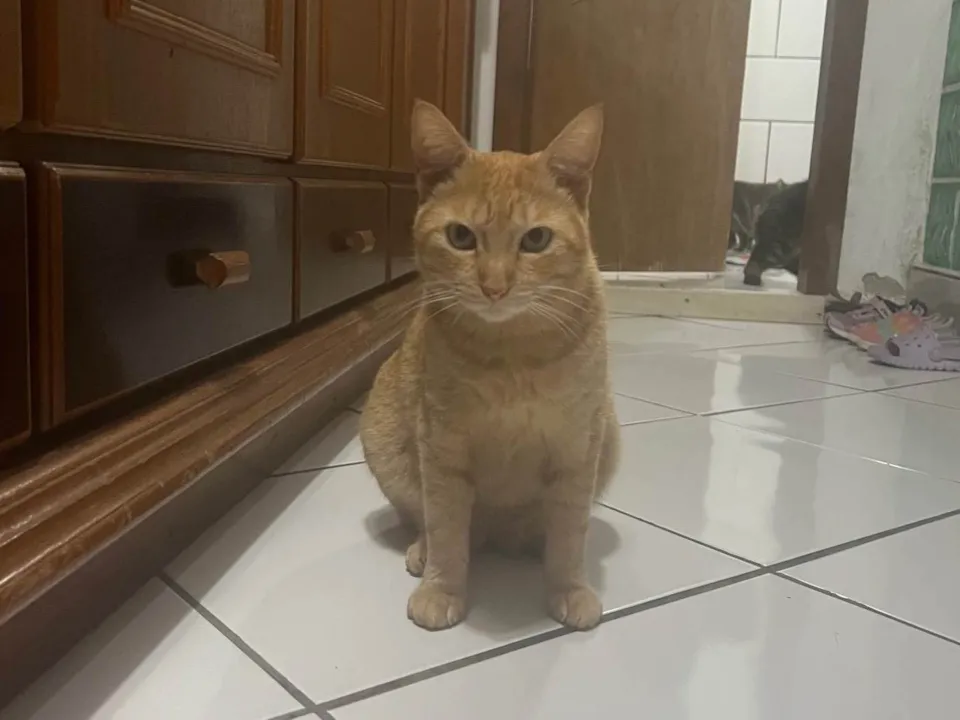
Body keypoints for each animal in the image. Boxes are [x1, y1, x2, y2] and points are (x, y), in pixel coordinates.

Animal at [359, 100, 620, 632]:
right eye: (460, 236)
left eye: (536, 240)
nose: (495, 287)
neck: (511, 358)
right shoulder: (442, 448)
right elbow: (446, 528)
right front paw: (441, 589)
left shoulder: (577, 448)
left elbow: (569, 533)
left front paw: (568, 588)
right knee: (432, 521)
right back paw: (424, 549)